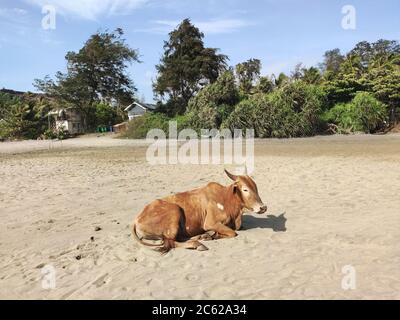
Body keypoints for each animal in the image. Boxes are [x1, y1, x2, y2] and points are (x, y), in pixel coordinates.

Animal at [133, 170, 268, 252]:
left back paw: (202, 236)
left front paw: (209, 235)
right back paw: (198, 244)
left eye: (256, 187)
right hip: (175, 212)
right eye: (245, 189)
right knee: (172, 243)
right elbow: (232, 233)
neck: (226, 199)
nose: (263, 207)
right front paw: (213, 235)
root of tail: (136, 219)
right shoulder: (210, 223)